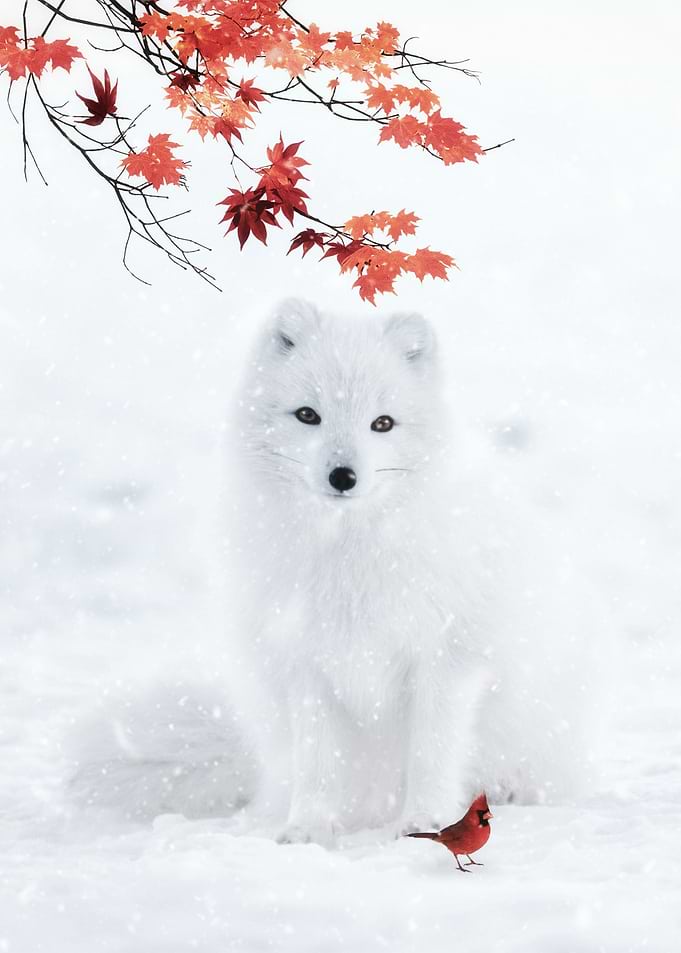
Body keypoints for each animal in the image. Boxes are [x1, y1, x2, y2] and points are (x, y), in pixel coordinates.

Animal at [68, 299, 603, 845]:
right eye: (308, 415)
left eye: (382, 423)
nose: (342, 476)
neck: (348, 554)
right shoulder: (306, 662)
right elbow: (319, 761)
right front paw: (307, 829)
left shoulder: (446, 657)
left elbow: (431, 753)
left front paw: (427, 822)